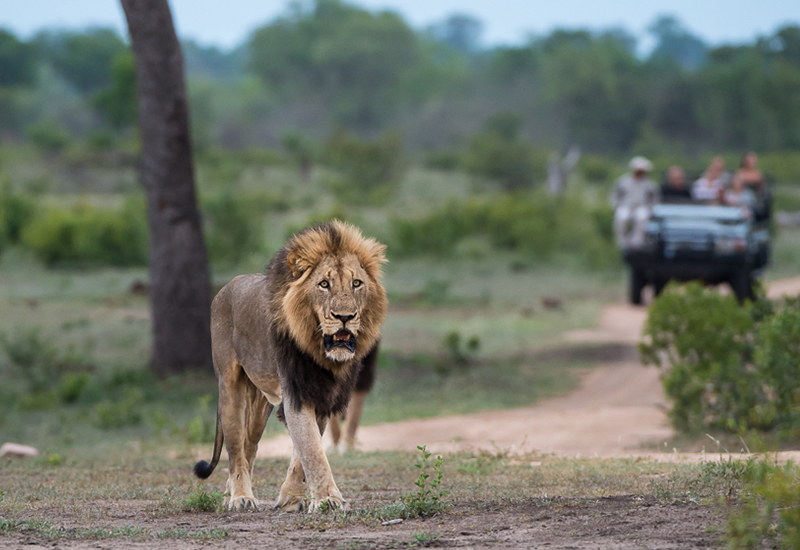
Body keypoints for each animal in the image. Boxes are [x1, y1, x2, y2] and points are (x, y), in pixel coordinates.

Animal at [194, 222, 388, 516]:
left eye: (357, 283)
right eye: (324, 284)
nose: (345, 317)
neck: (319, 352)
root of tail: (224, 288)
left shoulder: (320, 394)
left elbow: (303, 453)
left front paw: (292, 499)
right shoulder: (297, 390)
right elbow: (312, 450)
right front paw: (328, 500)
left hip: (260, 402)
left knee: (249, 446)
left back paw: (230, 493)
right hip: (230, 387)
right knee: (236, 448)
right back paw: (241, 497)